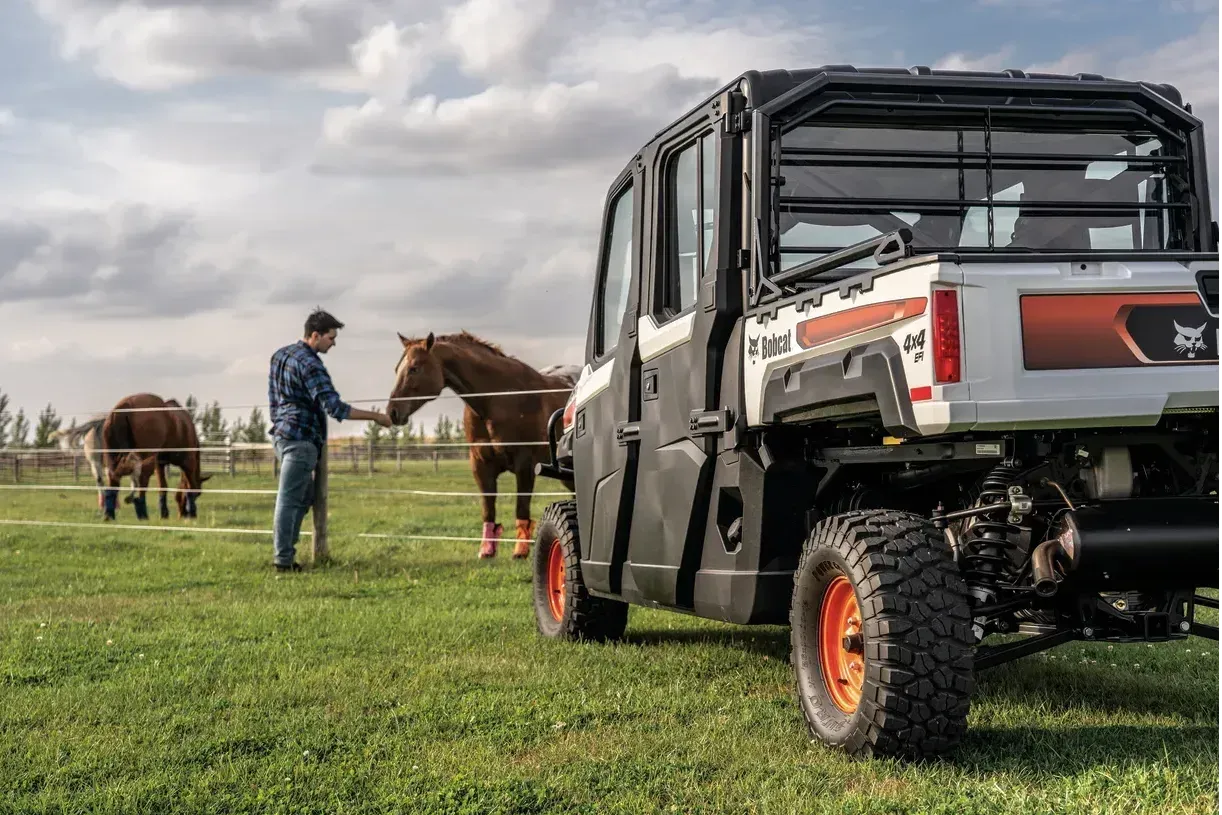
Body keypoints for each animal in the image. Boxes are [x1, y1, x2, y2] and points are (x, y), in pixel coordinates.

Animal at [386, 332, 576, 562]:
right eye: (397, 369)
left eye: (414, 368)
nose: (392, 412)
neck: (499, 399)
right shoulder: (480, 464)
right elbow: (488, 509)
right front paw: (487, 550)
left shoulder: (525, 465)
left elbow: (521, 507)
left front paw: (520, 551)